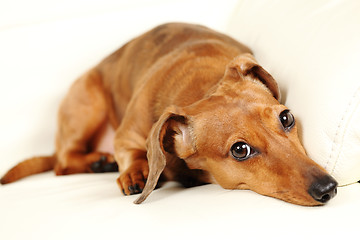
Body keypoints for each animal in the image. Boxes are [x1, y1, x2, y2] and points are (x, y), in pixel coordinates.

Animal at [0, 23, 338, 206]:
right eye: (240, 150)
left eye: (286, 118)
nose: (329, 188)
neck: (201, 87)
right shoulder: (127, 136)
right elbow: (132, 153)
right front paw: (135, 172)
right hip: (87, 106)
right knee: (62, 163)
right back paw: (99, 162)